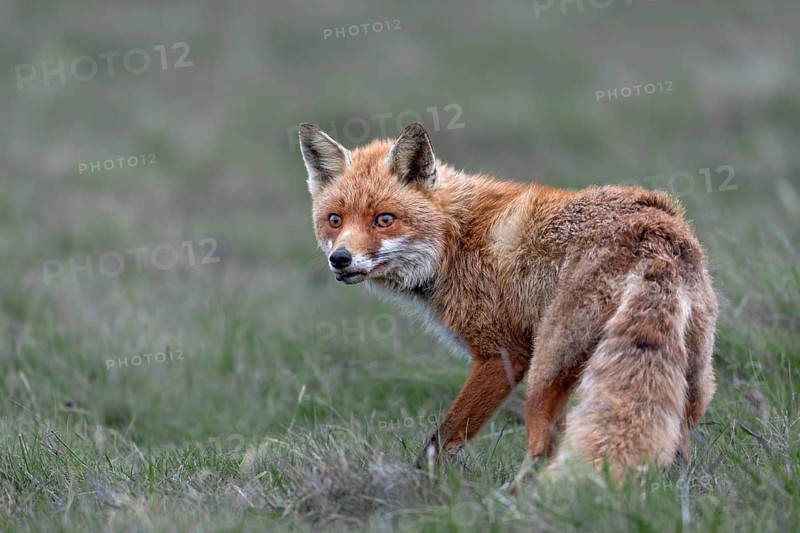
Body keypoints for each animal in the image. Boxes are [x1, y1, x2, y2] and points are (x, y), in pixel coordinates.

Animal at [299, 121, 718, 485]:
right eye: (334, 220)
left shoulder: (501, 357)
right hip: (689, 378)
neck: (455, 239)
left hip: (544, 375)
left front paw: (413, 486)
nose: (340, 259)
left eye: (384, 219)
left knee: (540, 449)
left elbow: (443, 438)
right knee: (678, 450)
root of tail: (656, 234)